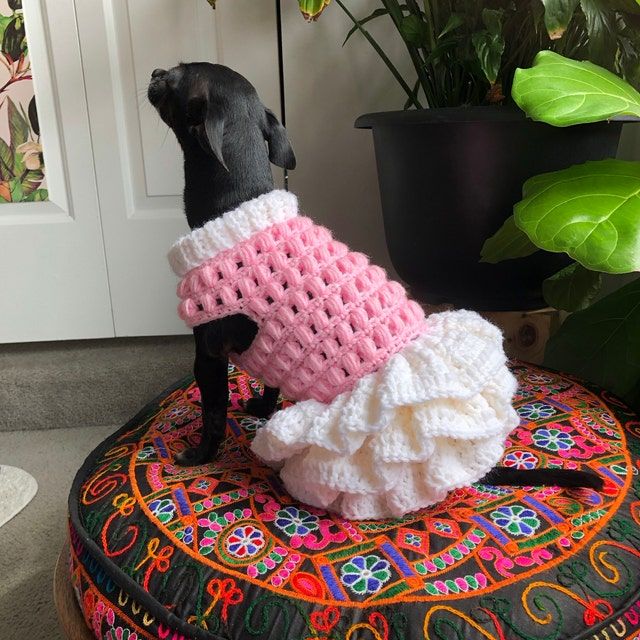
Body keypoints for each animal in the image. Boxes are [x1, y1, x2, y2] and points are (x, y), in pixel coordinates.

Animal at [148, 62, 604, 492]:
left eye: (174, 78)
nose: (154, 72)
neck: (241, 203)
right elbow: (270, 386)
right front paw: (261, 409)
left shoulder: (207, 352)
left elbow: (213, 411)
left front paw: (200, 455)